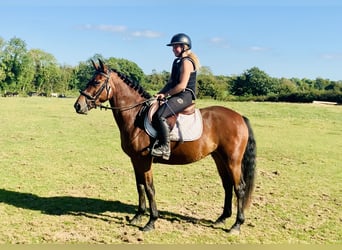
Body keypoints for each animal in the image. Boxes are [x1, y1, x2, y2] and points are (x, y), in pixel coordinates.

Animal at [75, 59, 256, 234]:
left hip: (233, 161)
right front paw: (138, 216)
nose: (78, 105)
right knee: (227, 185)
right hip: (219, 158)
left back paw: (236, 225)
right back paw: (222, 218)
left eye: (97, 82)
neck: (135, 116)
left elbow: (149, 188)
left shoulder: (144, 161)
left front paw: (151, 222)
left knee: (239, 188)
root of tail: (239, 117)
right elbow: (140, 186)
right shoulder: (135, 160)